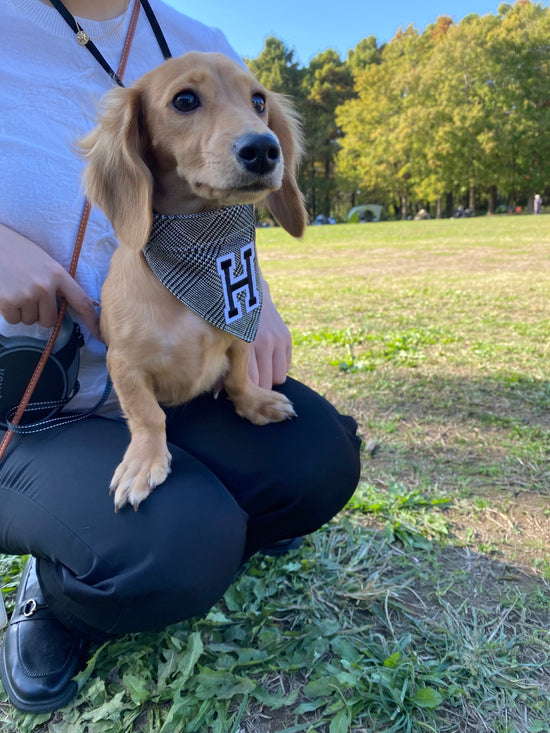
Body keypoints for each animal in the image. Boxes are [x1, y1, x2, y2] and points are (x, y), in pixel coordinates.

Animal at [80, 51, 308, 512]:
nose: (264, 149)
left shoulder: (240, 336)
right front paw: (144, 461)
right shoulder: (124, 364)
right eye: (185, 100)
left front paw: (254, 402)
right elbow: (148, 414)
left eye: (259, 101)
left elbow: (238, 376)